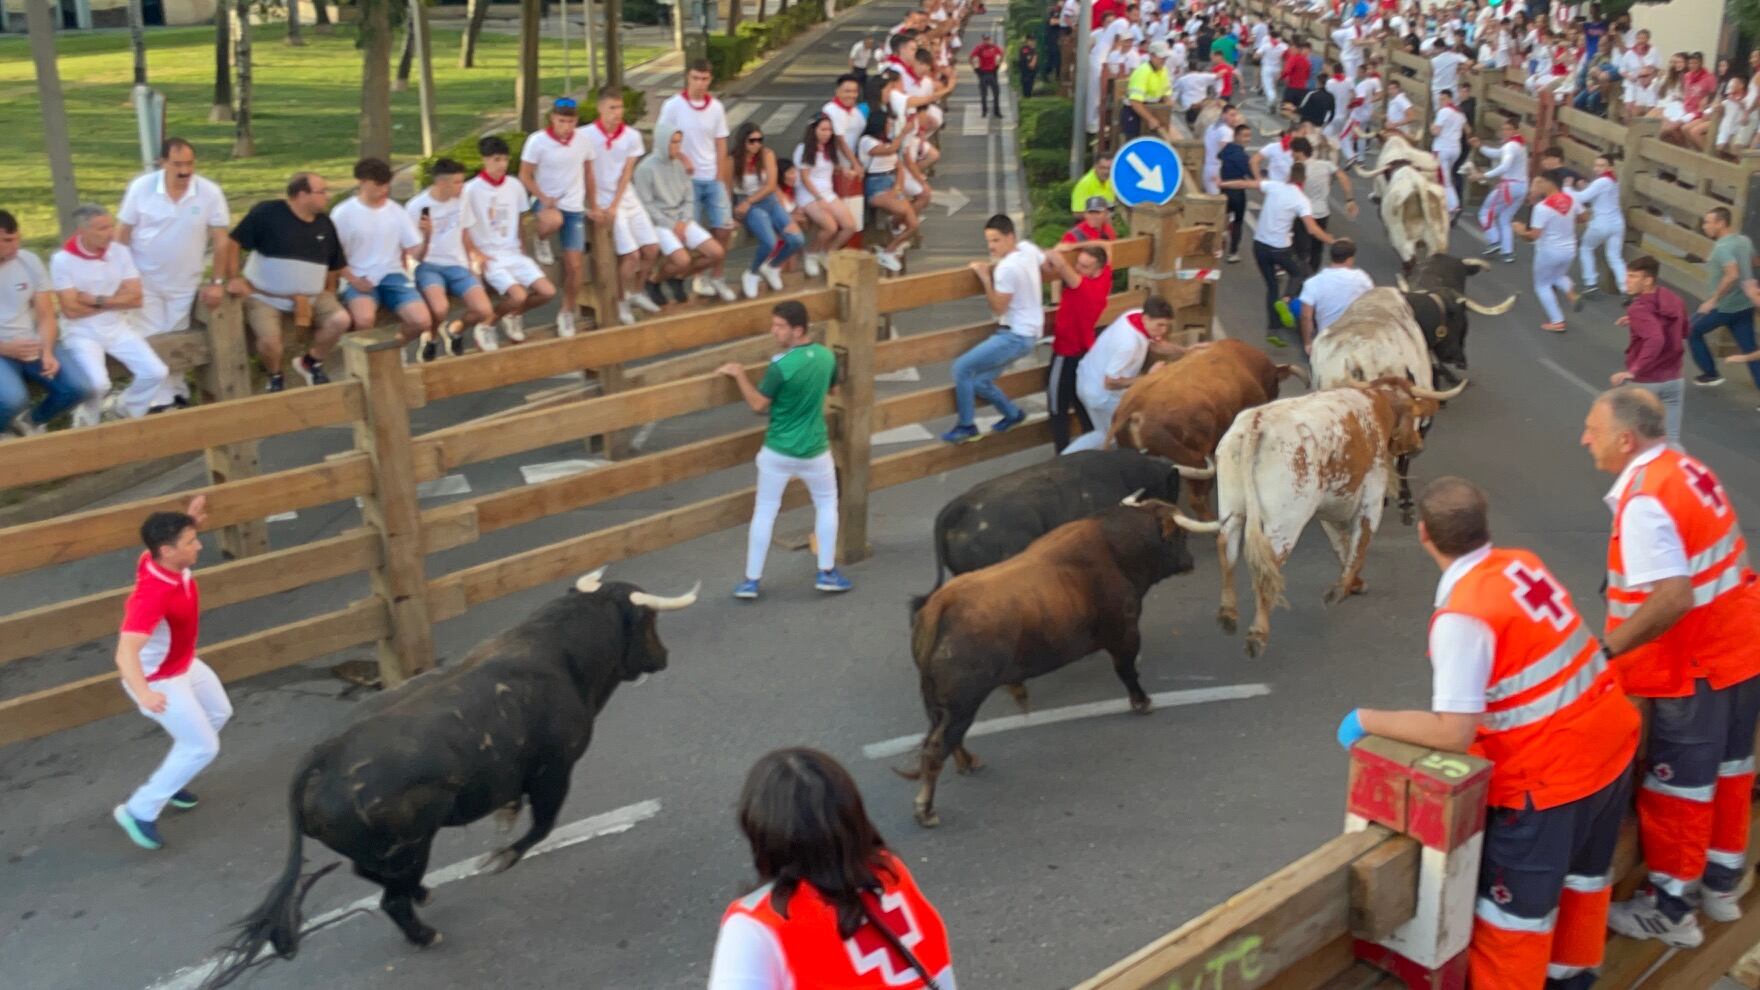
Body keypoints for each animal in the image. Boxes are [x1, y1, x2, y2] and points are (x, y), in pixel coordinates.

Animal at [204, 567, 693, 979]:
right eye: (650, 620)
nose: (665, 656)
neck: (560, 654)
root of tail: (320, 757)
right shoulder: (553, 772)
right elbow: (542, 826)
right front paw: (500, 858)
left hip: (392, 849)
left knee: (371, 876)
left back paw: (422, 893)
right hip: (413, 842)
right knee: (389, 896)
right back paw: (425, 932)